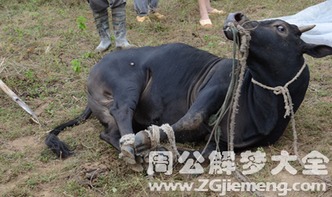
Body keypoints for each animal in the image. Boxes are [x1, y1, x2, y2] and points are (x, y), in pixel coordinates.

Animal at [45, 12, 332, 165]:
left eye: (280, 28)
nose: (237, 17)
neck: (261, 105)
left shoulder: (224, 142)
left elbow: (205, 153)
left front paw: (171, 151)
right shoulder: (216, 83)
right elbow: (190, 119)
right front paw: (151, 140)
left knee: (109, 133)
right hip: (129, 83)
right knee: (122, 112)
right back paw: (134, 145)